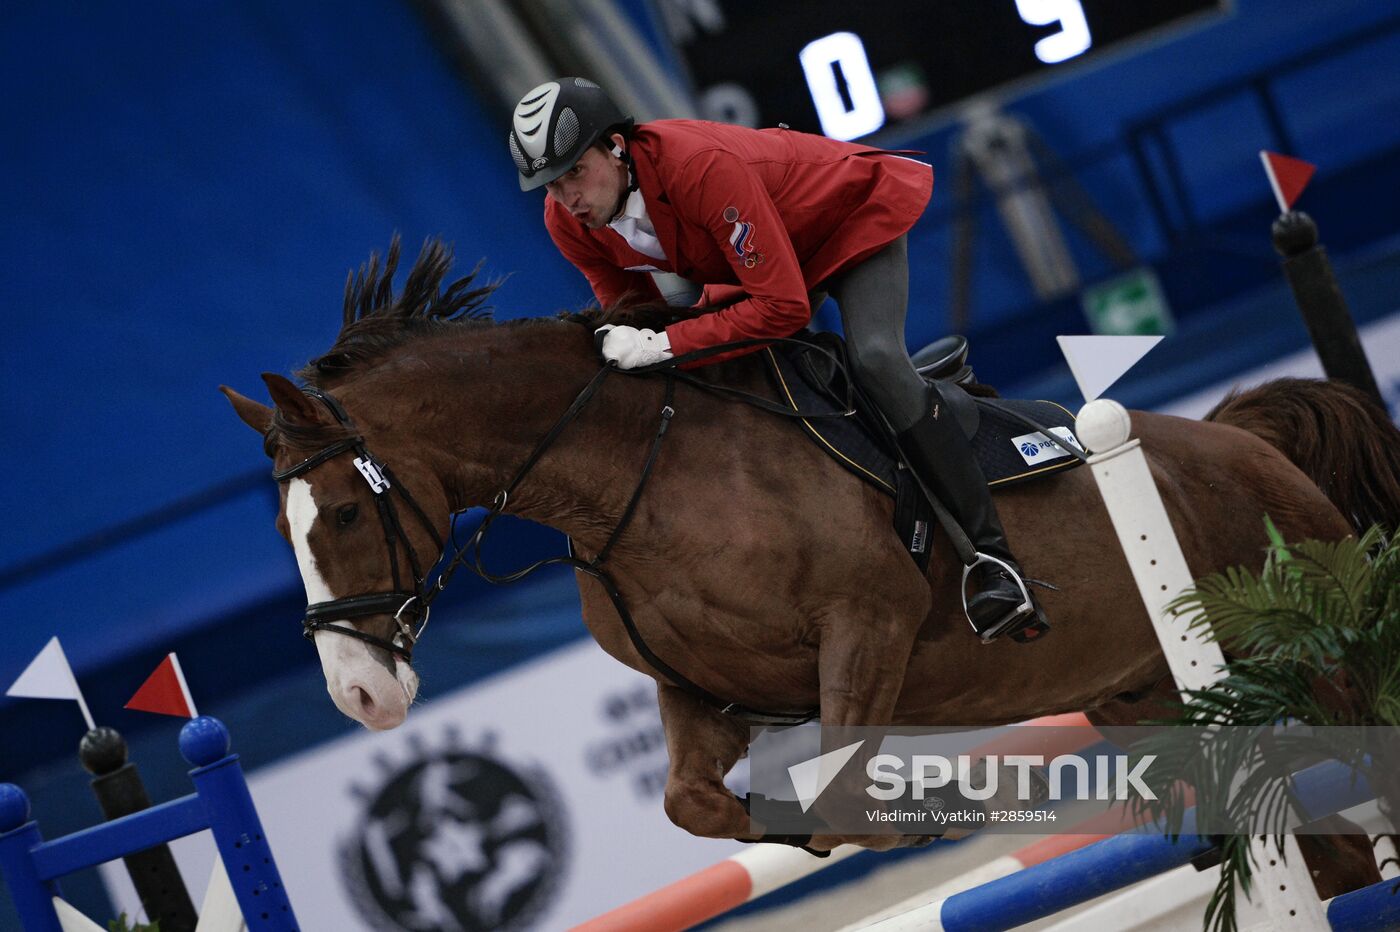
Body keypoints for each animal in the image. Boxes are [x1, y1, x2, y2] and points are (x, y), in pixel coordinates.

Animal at [224, 237, 1394, 878]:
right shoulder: (695, 687)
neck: (631, 468)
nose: (359, 695)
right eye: (280, 531)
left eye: (341, 513)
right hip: (1145, 696)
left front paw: (931, 814)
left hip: (1313, 663)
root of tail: (1242, 438)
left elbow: (837, 782)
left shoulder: (866, 623)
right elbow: (693, 803)